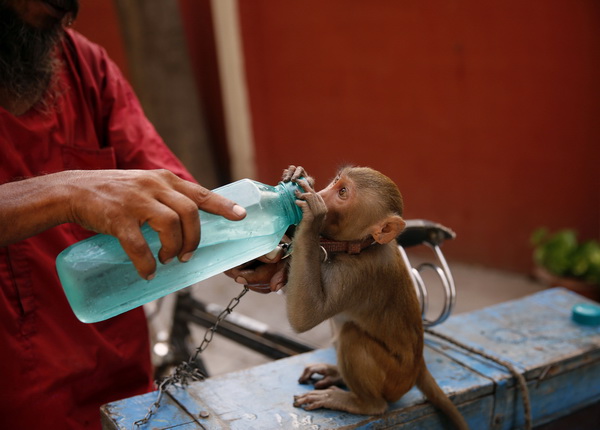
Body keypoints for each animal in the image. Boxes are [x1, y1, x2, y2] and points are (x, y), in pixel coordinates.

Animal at [282, 165, 468, 430]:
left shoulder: (357, 275)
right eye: (337, 181)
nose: (322, 193)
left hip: (394, 381)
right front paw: (293, 176)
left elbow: (306, 316)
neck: (359, 247)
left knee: (351, 335)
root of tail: (418, 368)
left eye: (343, 193)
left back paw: (364, 403)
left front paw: (311, 217)